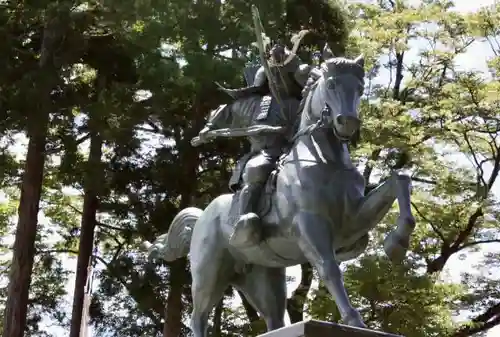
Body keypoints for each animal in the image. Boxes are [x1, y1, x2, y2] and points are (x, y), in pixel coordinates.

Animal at [143, 54, 416, 334]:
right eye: (331, 84)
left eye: (360, 88)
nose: (347, 122)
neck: (326, 159)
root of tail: (202, 217)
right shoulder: (309, 224)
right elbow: (329, 268)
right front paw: (353, 319)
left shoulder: (352, 221)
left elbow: (399, 180)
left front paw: (396, 243)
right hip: (208, 274)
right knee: (198, 315)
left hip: (263, 275)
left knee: (273, 318)